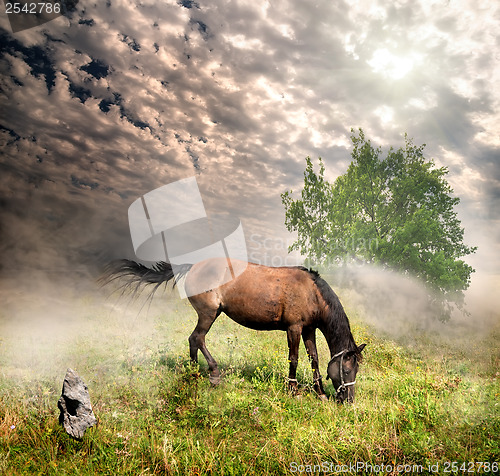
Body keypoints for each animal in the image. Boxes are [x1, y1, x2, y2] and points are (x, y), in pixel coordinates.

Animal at [102, 256, 368, 402]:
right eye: (347, 370)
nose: (348, 401)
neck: (312, 291)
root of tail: (193, 266)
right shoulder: (294, 329)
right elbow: (294, 358)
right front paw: (293, 389)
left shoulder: (308, 329)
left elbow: (314, 359)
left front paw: (319, 392)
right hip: (208, 314)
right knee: (197, 338)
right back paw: (213, 373)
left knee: (192, 340)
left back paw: (193, 371)